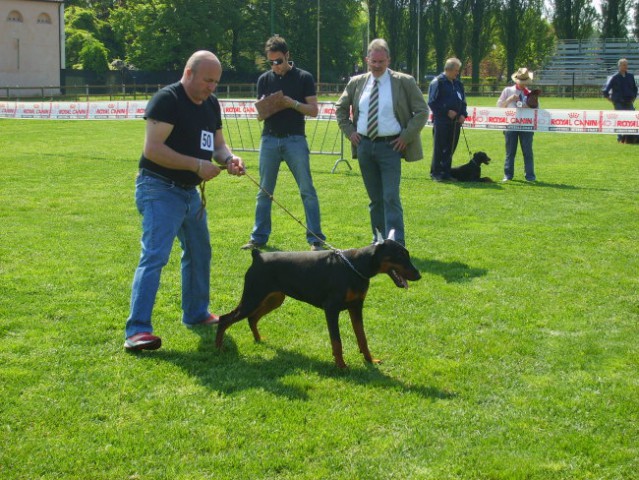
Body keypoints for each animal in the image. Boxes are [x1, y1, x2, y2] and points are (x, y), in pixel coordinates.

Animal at [218, 236, 422, 368]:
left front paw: (370, 360)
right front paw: (341, 367)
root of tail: (258, 256)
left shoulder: (356, 307)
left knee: (252, 318)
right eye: (401, 256)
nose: (419, 275)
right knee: (225, 318)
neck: (356, 266)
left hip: (274, 298)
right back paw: (219, 348)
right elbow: (337, 341)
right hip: (253, 297)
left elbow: (362, 337)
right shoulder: (331, 309)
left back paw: (259, 339)